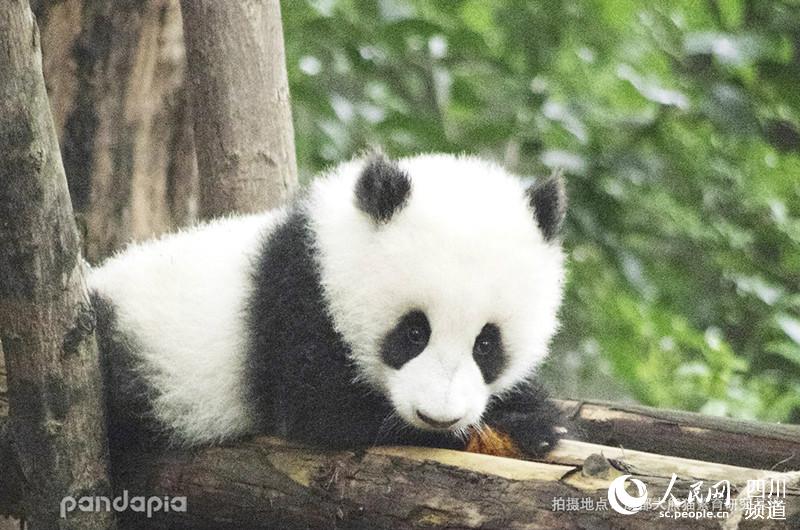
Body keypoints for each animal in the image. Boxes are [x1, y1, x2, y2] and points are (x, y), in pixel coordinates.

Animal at [89, 152, 567, 458]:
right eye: (413, 332)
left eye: (486, 344)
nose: (437, 417)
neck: (329, 250)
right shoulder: (298, 309)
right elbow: (325, 413)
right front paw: (526, 427)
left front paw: (536, 410)